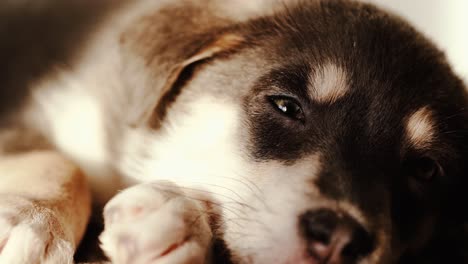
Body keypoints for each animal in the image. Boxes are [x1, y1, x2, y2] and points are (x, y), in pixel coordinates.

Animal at [0, 0, 466, 262]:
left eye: (425, 169)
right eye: (286, 105)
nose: (339, 238)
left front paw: (178, 221)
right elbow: (57, 161)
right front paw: (31, 221)